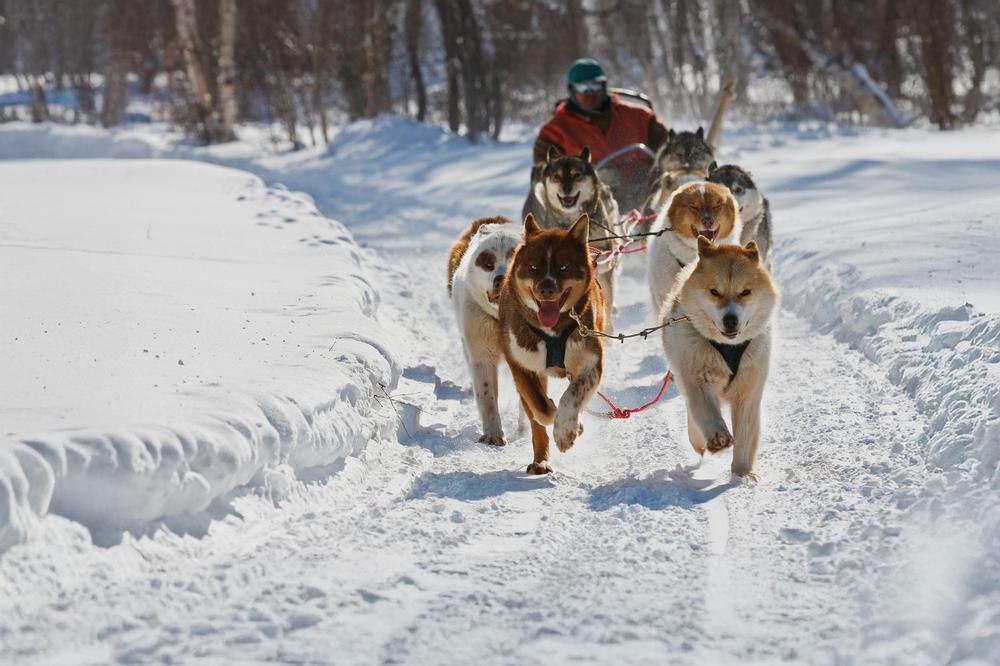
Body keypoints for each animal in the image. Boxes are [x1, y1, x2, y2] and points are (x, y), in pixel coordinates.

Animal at [660, 236, 776, 480]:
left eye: (745, 292)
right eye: (714, 291)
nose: (730, 320)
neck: (728, 347)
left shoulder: (748, 393)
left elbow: (745, 433)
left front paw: (742, 474)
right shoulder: (698, 381)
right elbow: (706, 413)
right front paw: (718, 437)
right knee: (693, 413)